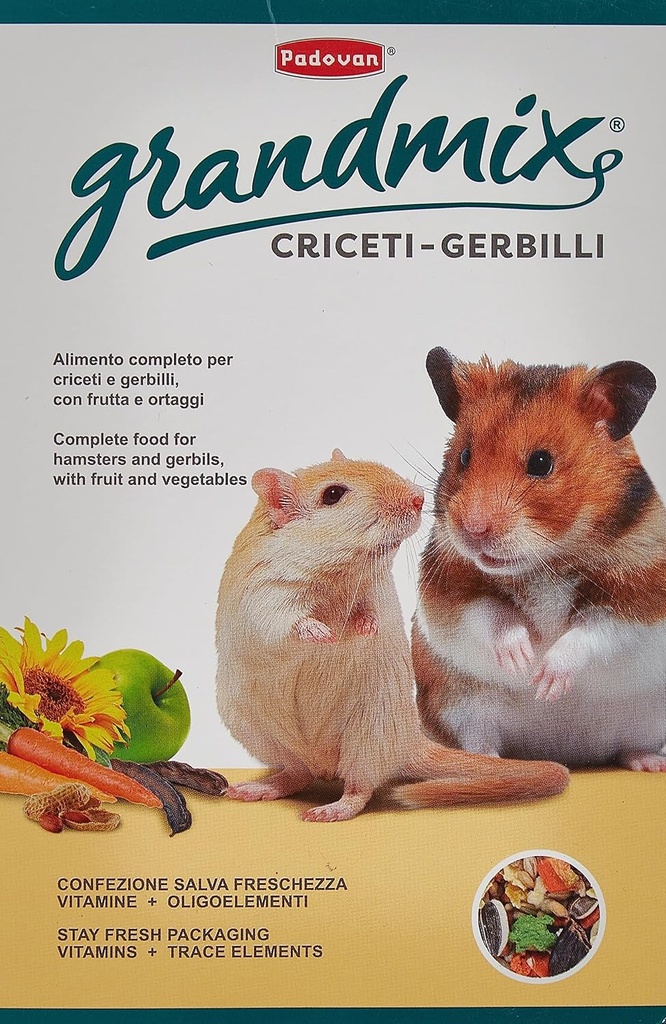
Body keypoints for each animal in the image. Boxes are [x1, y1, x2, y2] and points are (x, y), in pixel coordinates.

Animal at [215, 449, 568, 821]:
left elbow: (369, 610)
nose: (419, 497)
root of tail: (410, 741)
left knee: (358, 788)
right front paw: (323, 633)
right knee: (298, 773)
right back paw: (254, 789)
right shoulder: (266, 597)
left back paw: (327, 810)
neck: (339, 573)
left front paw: (364, 629)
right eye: (332, 494)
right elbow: (286, 621)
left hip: (368, 736)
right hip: (257, 730)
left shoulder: (375, 589)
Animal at [413, 348, 666, 771]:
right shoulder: (446, 596)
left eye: (541, 462)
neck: (545, 562)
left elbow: (594, 634)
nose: (471, 530)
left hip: (648, 719)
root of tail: (559, 751)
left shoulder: (641, 603)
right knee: (479, 738)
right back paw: (488, 761)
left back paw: (650, 763)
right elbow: (488, 613)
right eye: (464, 456)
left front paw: (545, 681)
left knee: (630, 745)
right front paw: (523, 658)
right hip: (459, 705)